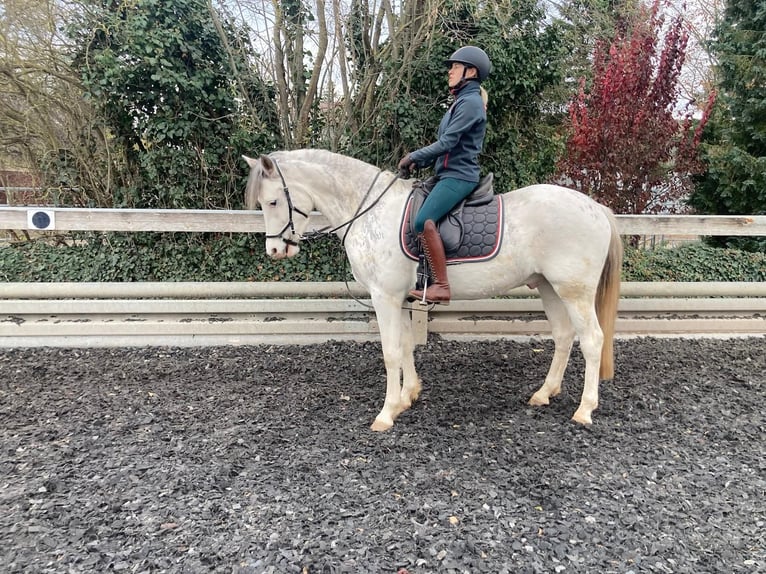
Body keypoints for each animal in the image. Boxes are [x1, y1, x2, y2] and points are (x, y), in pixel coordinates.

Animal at [246, 150, 624, 432]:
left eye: (273, 202)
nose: (275, 251)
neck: (370, 211)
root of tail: (597, 208)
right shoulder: (399, 299)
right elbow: (405, 347)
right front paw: (406, 397)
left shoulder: (384, 297)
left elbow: (390, 352)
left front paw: (386, 413)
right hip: (548, 287)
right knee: (563, 336)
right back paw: (544, 393)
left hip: (574, 291)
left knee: (592, 340)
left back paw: (585, 409)